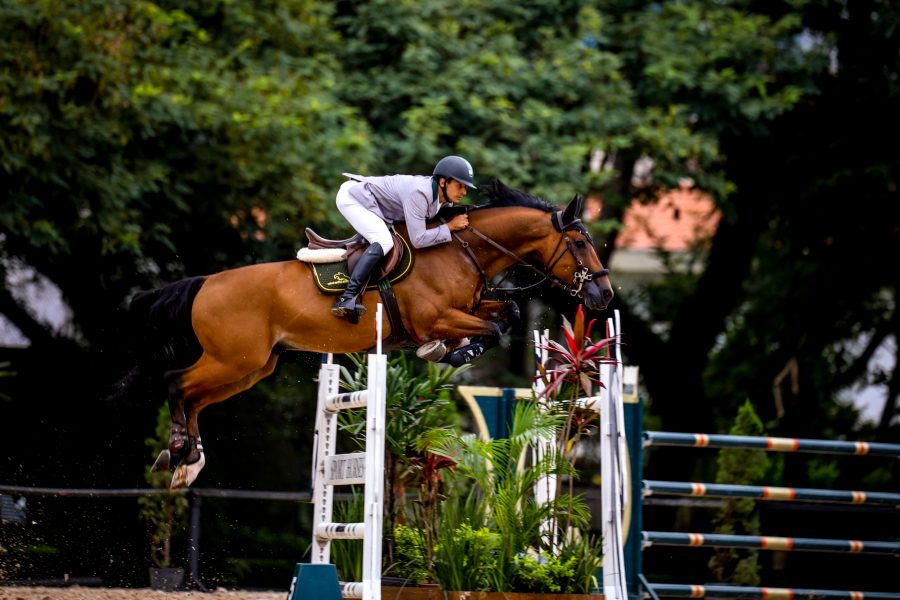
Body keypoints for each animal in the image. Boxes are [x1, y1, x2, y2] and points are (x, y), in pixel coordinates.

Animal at [126, 179, 612, 488]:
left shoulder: (468, 307)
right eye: (580, 242)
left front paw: (453, 350)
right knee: (176, 383)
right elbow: (490, 328)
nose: (604, 294)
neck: (462, 249)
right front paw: (449, 352)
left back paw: (186, 461)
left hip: (251, 368)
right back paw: (180, 451)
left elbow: (505, 311)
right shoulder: (436, 317)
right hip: (233, 360)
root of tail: (205, 283)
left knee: (193, 398)